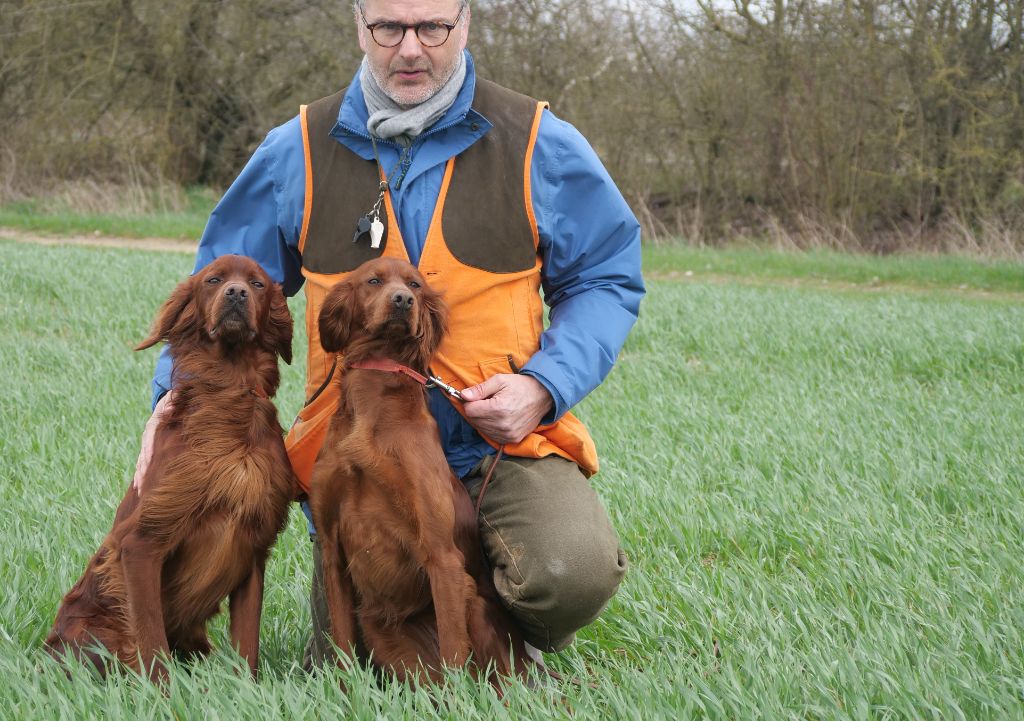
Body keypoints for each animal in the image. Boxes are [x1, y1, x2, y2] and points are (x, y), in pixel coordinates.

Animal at [48, 255, 296, 680]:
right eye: (213, 279)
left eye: (258, 284)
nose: (236, 293)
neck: (231, 390)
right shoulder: (141, 544)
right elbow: (152, 642)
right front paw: (163, 692)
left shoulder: (253, 546)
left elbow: (247, 643)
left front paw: (248, 687)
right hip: (95, 632)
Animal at [307, 258, 532, 688]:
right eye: (373, 280)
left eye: (414, 285)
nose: (402, 301)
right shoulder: (332, 552)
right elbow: (342, 648)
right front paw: (344, 693)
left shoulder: (442, 556)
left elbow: (454, 657)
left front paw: (460, 701)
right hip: (383, 635)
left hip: (476, 605)